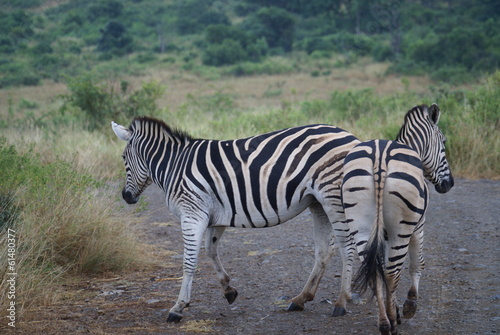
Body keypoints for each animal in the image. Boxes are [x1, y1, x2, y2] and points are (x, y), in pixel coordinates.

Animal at [111, 118, 362, 322]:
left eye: (123, 158)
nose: (126, 196)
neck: (174, 165)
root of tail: (351, 136)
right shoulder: (215, 217)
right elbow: (210, 251)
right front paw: (228, 290)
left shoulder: (192, 213)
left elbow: (189, 261)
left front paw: (178, 307)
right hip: (317, 202)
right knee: (324, 250)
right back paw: (301, 299)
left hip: (333, 197)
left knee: (347, 247)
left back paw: (341, 301)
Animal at [342, 103, 456, 334]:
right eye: (444, 142)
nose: (450, 184)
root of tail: (379, 156)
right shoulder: (419, 226)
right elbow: (417, 264)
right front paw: (409, 306)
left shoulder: (384, 234)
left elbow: (383, 265)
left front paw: (393, 308)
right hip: (402, 227)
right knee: (392, 272)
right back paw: (391, 323)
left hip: (360, 223)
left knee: (376, 271)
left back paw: (384, 322)